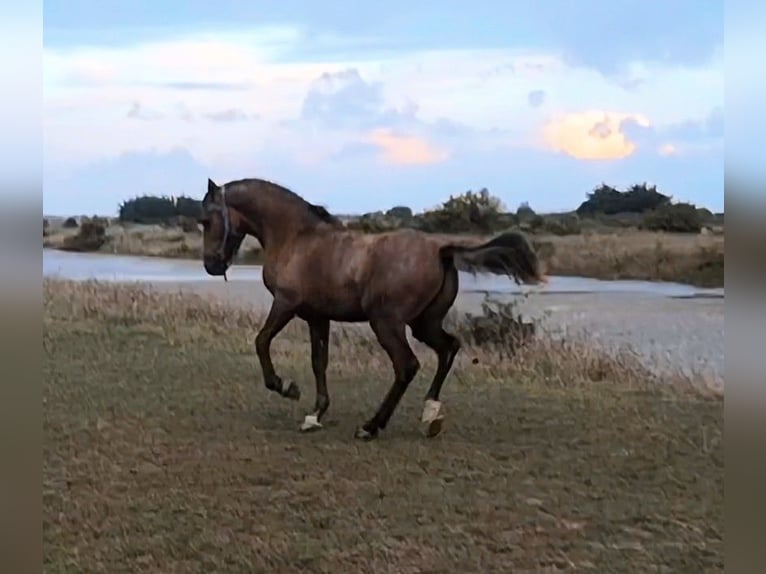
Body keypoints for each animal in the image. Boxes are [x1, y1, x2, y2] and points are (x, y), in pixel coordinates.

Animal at [198, 178, 544, 444]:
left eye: (206, 221)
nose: (211, 265)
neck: (297, 238)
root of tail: (441, 250)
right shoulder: (317, 317)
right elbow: (318, 362)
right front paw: (315, 414)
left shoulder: (286, 304)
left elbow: (262, 341)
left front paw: (287, 387)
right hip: (424, 323)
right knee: (449, 348)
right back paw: (430, 414)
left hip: (387, 322)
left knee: (407, 365)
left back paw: (371, 426)